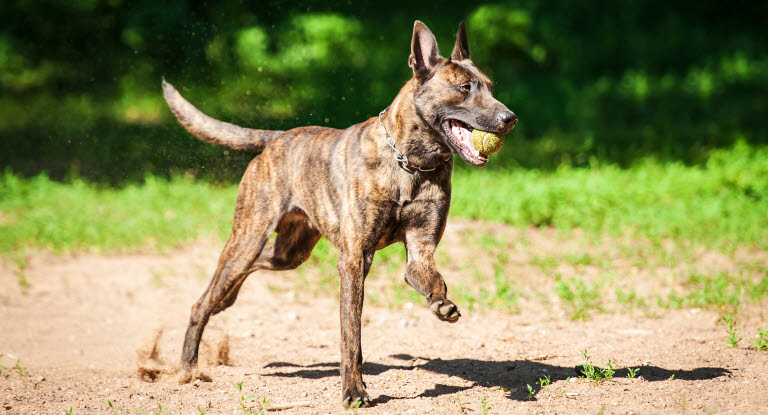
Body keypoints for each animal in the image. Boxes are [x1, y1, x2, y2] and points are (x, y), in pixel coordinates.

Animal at [164, 21, 520, 408]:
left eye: (491, 87)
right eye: (464, 88)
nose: (510, 118)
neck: (410, 164)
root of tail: (276, 138)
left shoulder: (420, 249)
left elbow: (428, 279)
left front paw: (440, 304)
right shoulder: (354, 260)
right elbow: (352, 334)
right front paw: (354, 390)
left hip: (290, 252)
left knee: (249, 269)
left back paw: (225, 302)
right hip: (247, 238)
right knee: (203, 301)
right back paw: (188, 368)